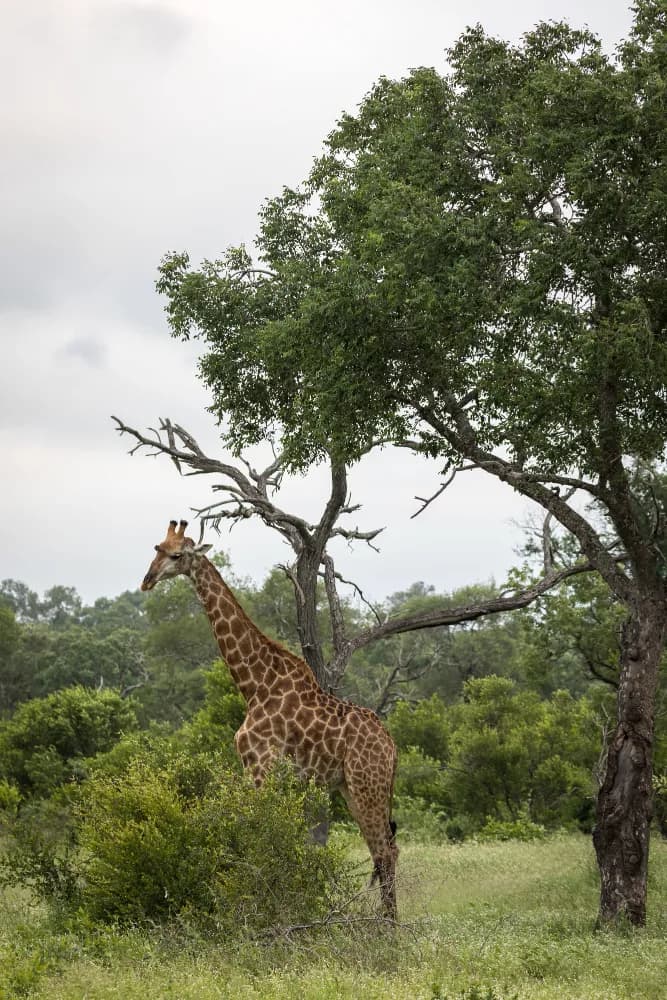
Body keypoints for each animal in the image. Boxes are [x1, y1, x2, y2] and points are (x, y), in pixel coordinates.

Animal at [140, 519, 399, 918]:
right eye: (156, 548)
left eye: (178, 555)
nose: (148, 579)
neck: (254, 685)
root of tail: (392, 748)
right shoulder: (266, 772)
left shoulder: (260, 766)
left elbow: (258, 836)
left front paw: (262, 911)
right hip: (353, 788)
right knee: (384, 849)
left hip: (366, 784)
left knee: (385, 852)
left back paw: (388, 926)